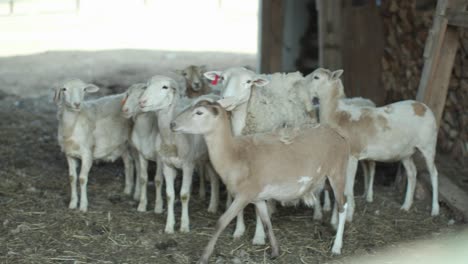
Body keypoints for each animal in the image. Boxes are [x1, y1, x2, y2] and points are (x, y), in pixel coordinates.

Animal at [55, 78, 135, 212]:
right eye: (64, 89)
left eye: (84, 89)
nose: (77, 104)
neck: (72, 126)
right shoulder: (69, 154)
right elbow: (72, 177)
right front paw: (73, 203)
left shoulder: (87, 153)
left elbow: (82, 179)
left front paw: (83, 206)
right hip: (121, 144)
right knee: (129, 162)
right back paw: (128, 190)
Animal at [138, 75, 220, 233]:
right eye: (147, 85)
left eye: (165, 87)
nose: (142, 102)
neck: (171, 139)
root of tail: (213, 96)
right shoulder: (167, 165)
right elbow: (170, 195)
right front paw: (169, 226)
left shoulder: (188, 165)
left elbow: (184, 195)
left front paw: (184, 225)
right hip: (204, 158)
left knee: (215, 180)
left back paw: (213, 207)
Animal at [170, 100, 350, 262]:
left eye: (199, 112)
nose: (172, 124)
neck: (234, 156)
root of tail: (338, 135)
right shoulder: (258, 197)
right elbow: (266, 223)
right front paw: (275, 252)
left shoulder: (244, 195)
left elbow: (221, 222)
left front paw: (204, 256)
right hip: (325, 178)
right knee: (340, 200)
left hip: (337, 171)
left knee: (343, 205)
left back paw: (336, 247)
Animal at [205, 66, 318, 245]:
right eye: (222, 78)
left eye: (248, 82)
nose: (226, 100)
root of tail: (289, 75)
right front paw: (239, 230)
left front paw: (258, 236)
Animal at [306, 68, 440, 221]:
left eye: (316, 77)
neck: (338, 115)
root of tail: (423, 107)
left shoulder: (352, 155)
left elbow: (348, 187)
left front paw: (349, 215)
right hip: (406, 152)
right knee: (412, 173)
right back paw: (406, 206)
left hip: (428, 145)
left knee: (434, 174)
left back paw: (435, 209)